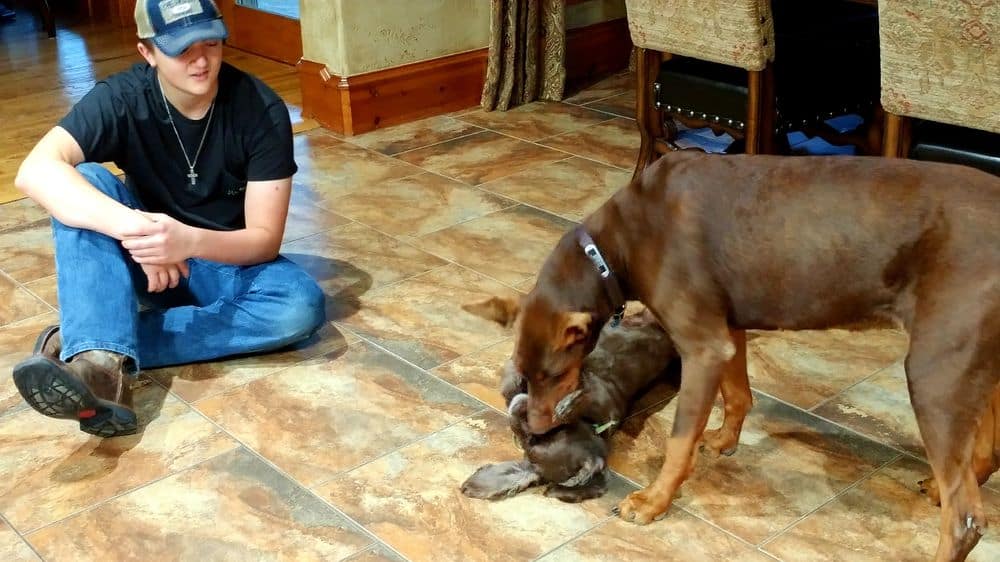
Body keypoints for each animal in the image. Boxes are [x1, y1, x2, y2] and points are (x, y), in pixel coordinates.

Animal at [512, 149, 996, 560]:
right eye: (524, 374)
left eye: (551, 374)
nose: (530, 431)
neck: (616, 246)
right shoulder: (726, 328)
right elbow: (737, 392)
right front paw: (724, 440)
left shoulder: (702, 346)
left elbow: (678, 440)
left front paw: (653, 501)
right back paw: (945, 484)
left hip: (935, 374)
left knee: (966, 518)